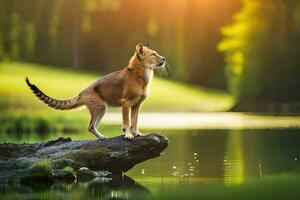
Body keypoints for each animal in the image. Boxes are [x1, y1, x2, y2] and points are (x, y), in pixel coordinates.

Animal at [26, 42, 168, 139]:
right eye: (153, 54)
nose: (164, 59)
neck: (139, 75)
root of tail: (81, 93)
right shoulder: (126, 103)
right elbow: (127, 122)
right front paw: (128, 135)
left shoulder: (137, 105)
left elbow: (135, 121)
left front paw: (137, 133)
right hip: (100, 106)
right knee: (90, 126)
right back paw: (102, 137)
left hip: (102, 108)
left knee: (92, 126)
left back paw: (102, 137)